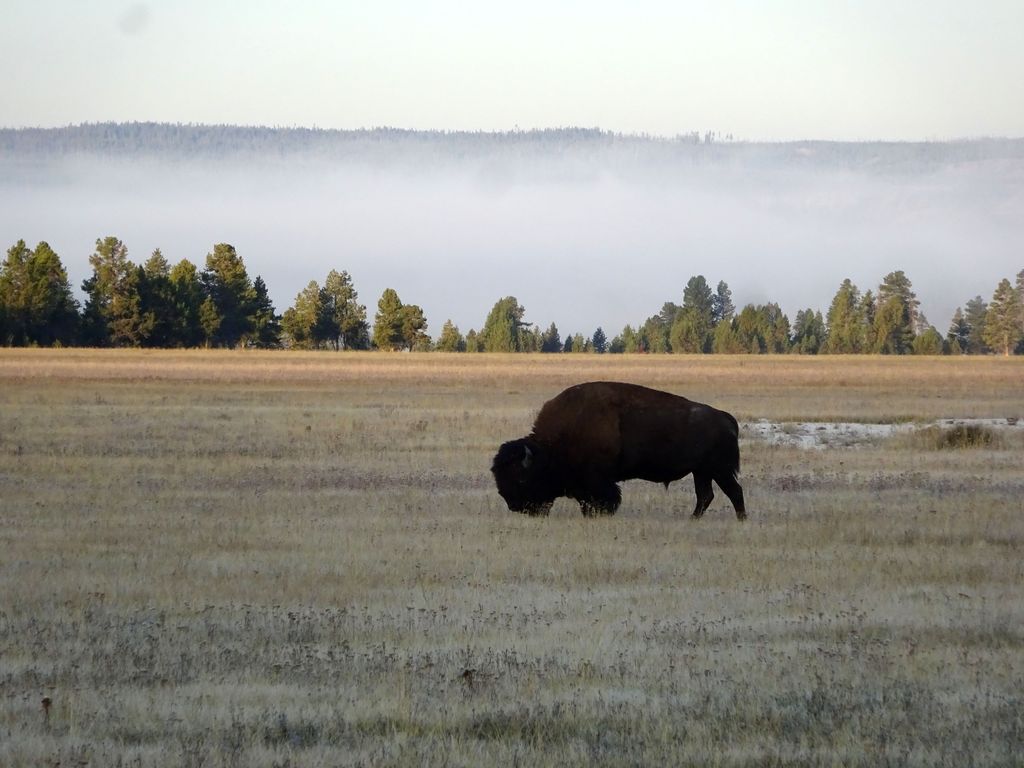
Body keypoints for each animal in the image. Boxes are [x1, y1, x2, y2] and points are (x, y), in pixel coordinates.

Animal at [489, 382, 745, 520]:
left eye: (521, 479)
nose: (514, 506)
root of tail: (725, 417)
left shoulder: (599, 481)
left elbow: (605, 500)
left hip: (719, 470)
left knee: (734, 491)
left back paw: (741, 520)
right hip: (701, 472)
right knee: (706, 496)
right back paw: (693, 520)